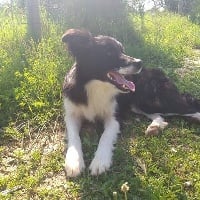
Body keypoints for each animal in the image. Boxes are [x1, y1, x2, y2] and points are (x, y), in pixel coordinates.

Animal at [61, 29, 199, 177]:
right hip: (140, 104)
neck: (95, 86)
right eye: (108, 52)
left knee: (191, 108)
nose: (140, 62)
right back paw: (155, 126)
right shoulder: (71, 115)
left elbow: (105, 136)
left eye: (122, 50)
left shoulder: (114, 118)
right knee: (159, 115)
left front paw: (100, 161)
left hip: (153, 99)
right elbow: (74, 137)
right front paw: (73, 162)